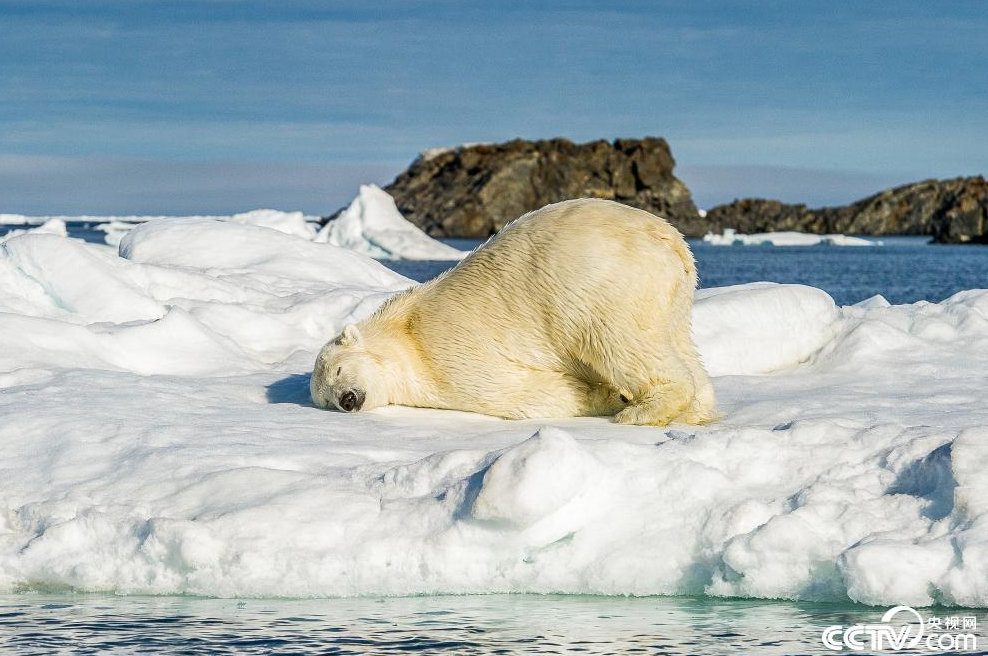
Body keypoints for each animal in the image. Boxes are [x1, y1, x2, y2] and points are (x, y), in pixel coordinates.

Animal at [308, 199, 712, 426]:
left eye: (339, 371)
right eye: (327, 400)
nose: (347, 400)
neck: (402, 330)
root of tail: (668, 238)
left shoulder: (443, 354)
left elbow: (518, 392)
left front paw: (609, 399)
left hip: (598, 289)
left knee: (619, 344)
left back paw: (641, 410)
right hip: (668, 292)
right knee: (677, 341)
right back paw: (696, 410)